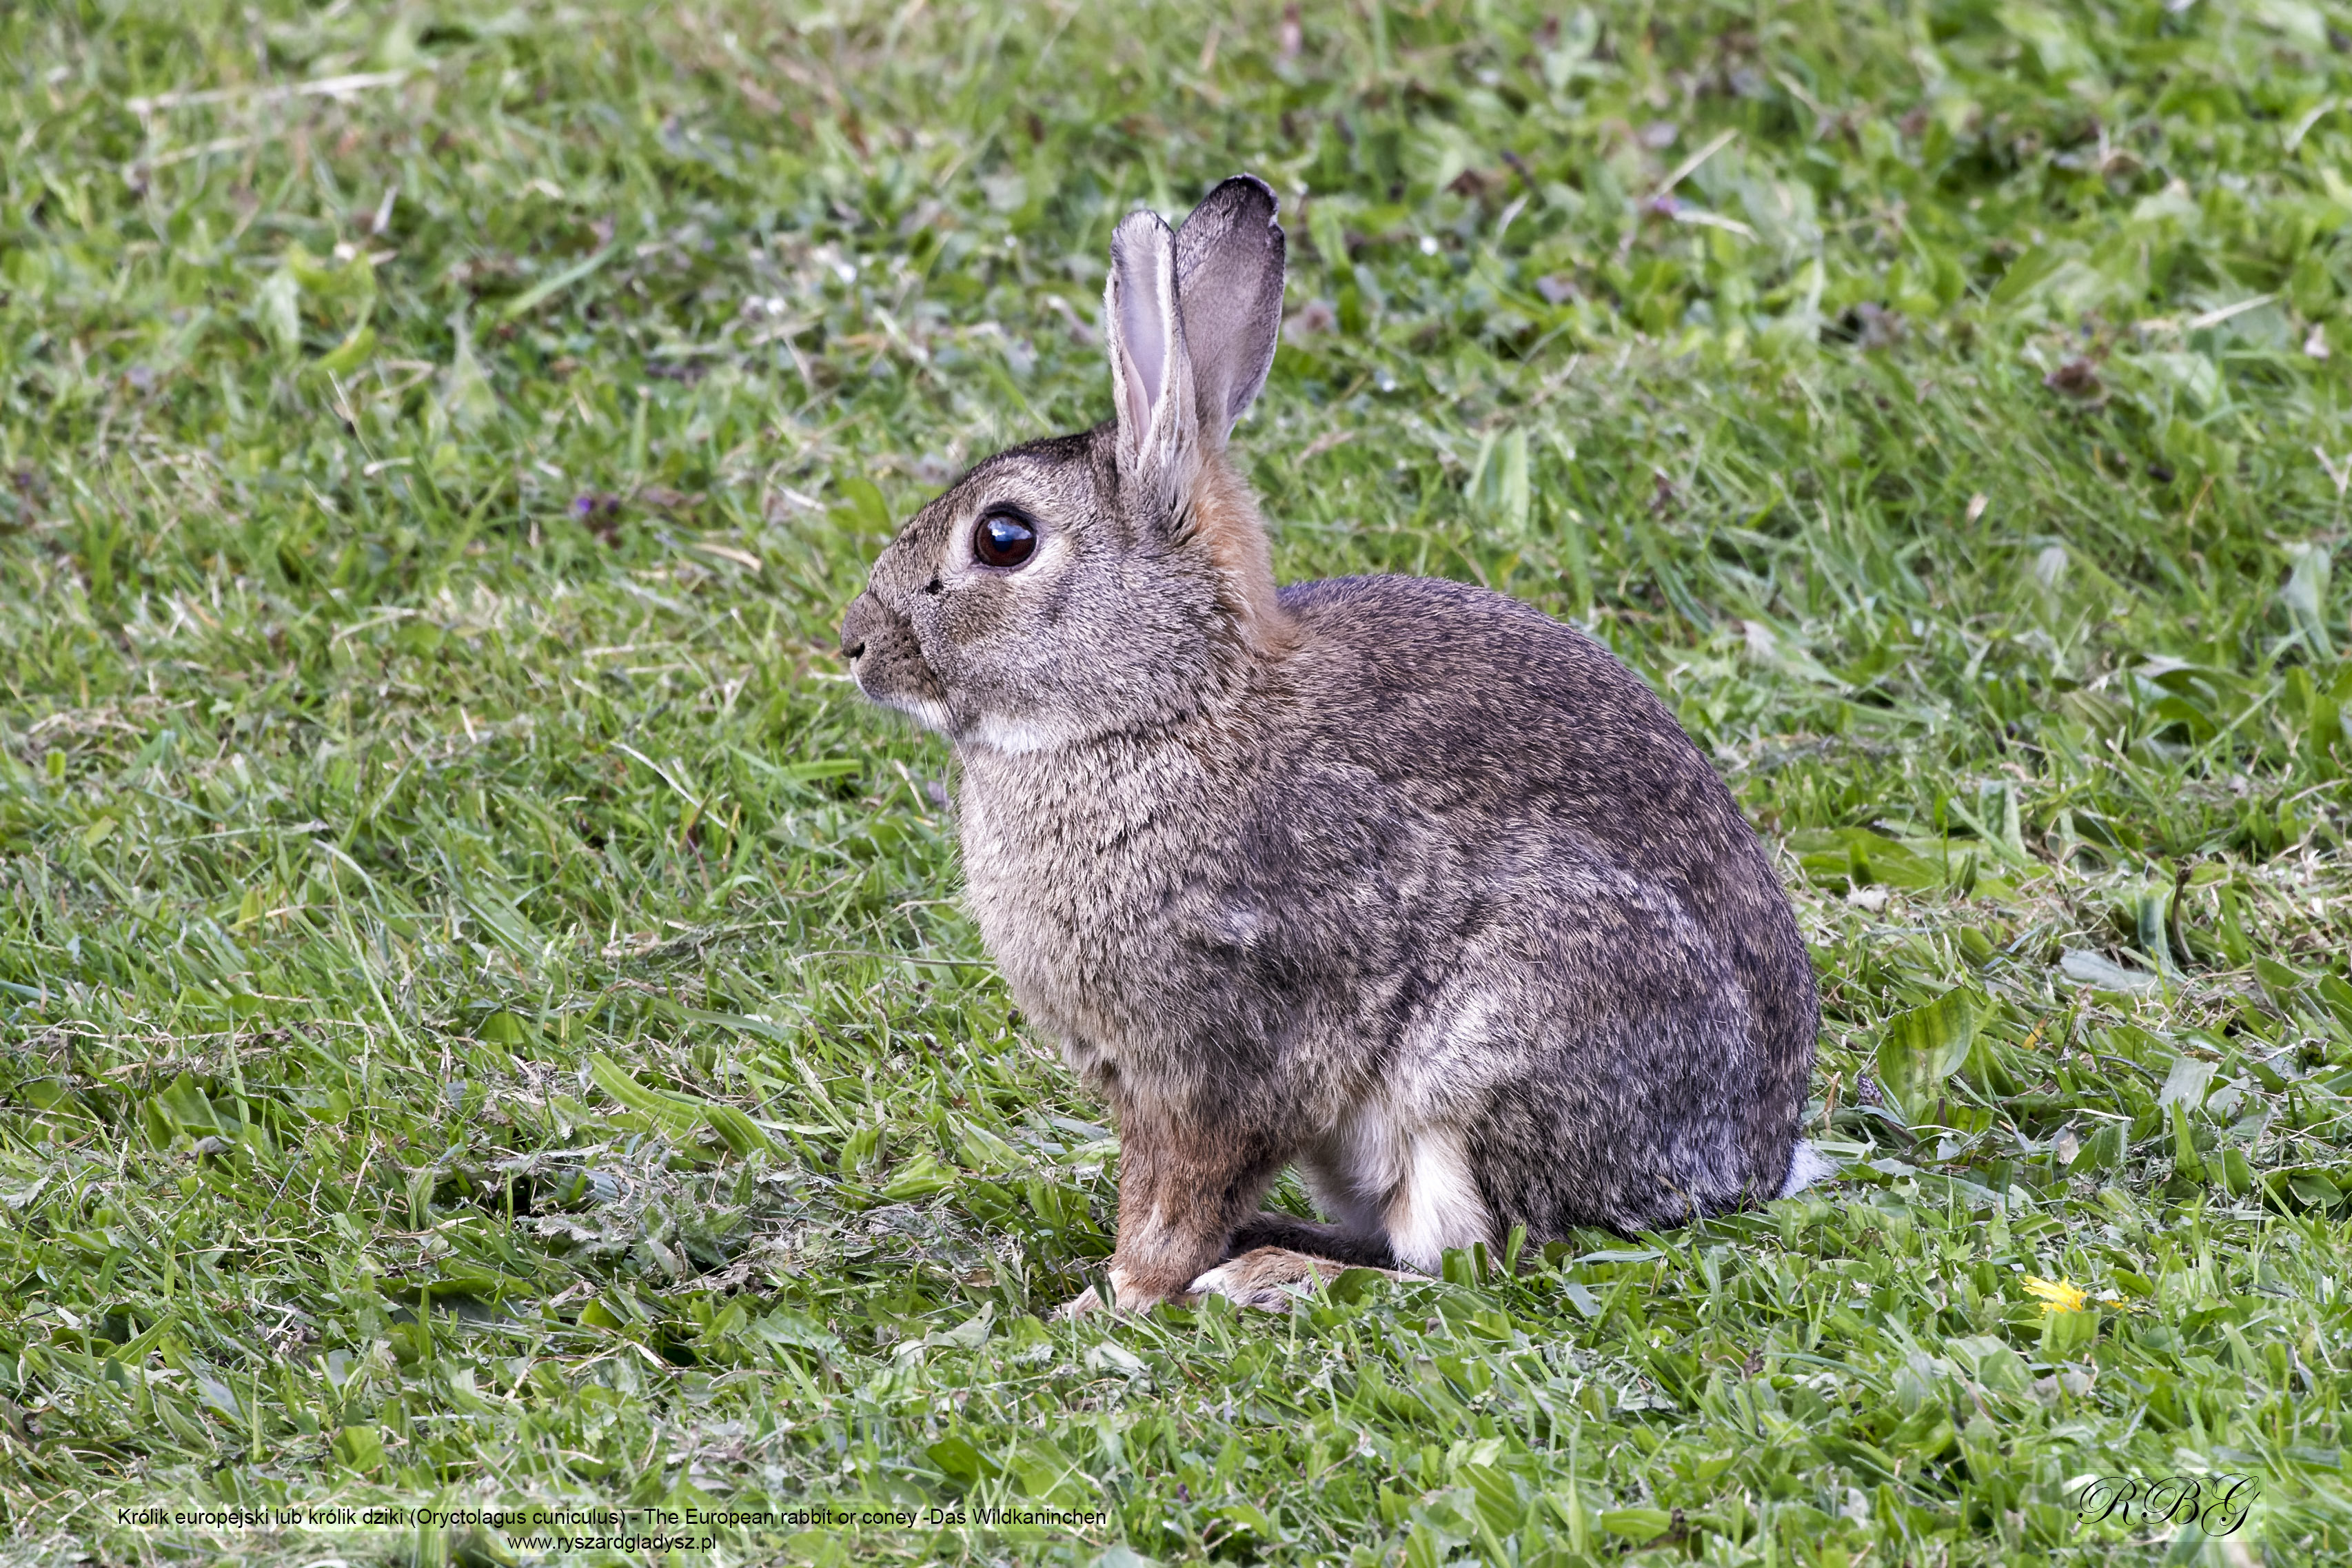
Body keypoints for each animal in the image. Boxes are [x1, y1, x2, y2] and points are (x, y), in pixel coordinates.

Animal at [838, 174, 1826, 1314]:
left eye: (1004, 538)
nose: (854, 644)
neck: (1170, 702)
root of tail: (1746, 1163)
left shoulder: (1220, 1052)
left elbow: (1179, 1192)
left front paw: (1118, 1295)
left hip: (1495, 1053)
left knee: (1471, 1263)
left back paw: (1267, 1273)